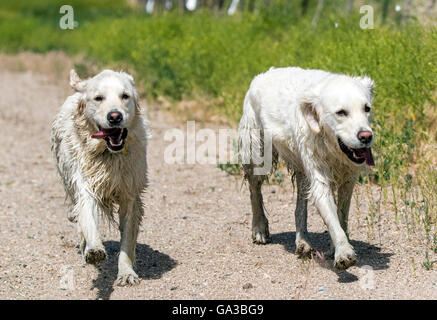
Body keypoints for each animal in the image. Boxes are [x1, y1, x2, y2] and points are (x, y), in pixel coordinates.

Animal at [51, 69, 149, 284]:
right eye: (98, 98)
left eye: (125, 96)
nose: (115, 116)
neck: (109, 154)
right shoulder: (85, 186)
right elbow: (88, 218)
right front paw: (94, 249)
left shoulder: (130, 195)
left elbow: (127, 241)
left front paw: (126, 273)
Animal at [238, 67, 374, 270]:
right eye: (341, 112)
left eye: (367, 108)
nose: (366, 136)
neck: (329, 144)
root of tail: (264, 73)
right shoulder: (319, 178)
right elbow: (332, 218)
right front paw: (344, 252)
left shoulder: (348, 178)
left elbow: (341, 214)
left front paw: (337, 246)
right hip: (257, 153)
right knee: (255, 190)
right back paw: (259, 228)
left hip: (301, 169)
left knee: (300, 207)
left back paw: (303, 242)